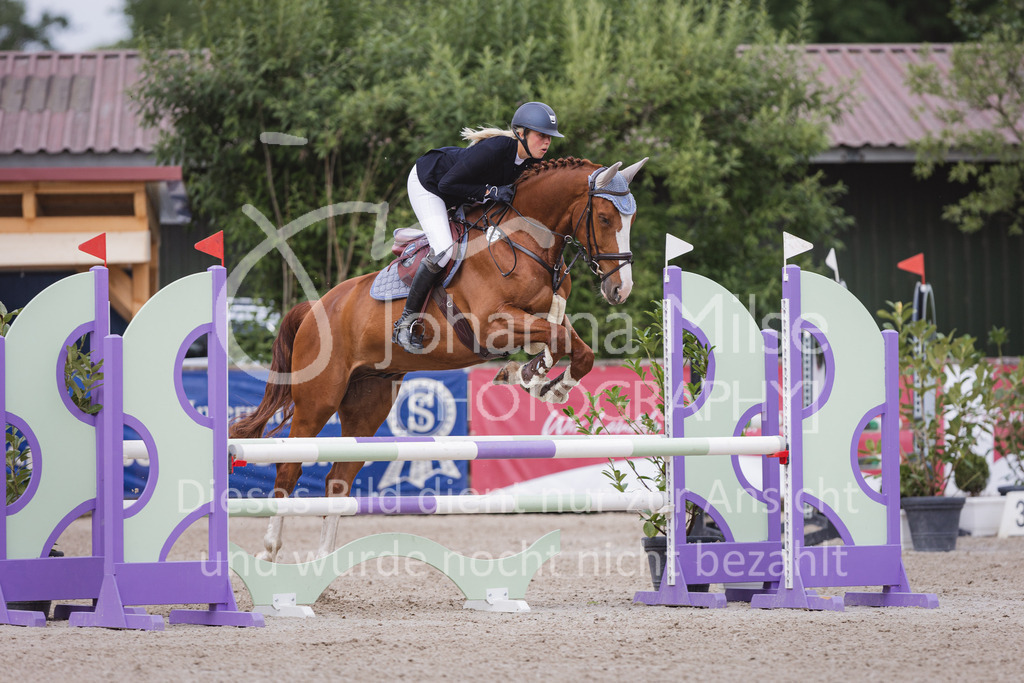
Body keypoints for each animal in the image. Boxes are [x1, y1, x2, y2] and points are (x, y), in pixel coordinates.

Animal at [230, 156, 648, 561]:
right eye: (604, 218)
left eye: (631, 219)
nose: (620, 289)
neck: (525, 240)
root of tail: (315, 307)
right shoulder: (491, 326)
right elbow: (558, 340)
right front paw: (531, 375)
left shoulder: (544, 316)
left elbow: (578, 350)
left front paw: (545, 383)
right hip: (318, 400)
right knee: (289, 467)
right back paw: (271, 551)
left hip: (369, 402)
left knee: (339, 478)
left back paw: (324, 563)